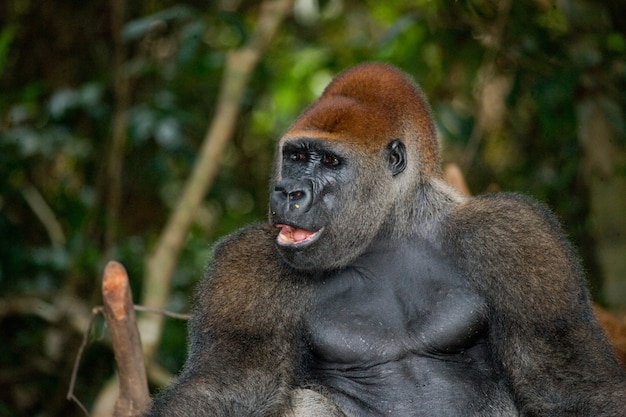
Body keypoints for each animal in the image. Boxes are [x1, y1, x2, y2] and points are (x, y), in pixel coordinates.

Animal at [146, 62, 624, 416]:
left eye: (330, 162)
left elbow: (565, 383)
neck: (390, 231)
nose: (289, 192)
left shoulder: (516, 234)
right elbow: (229, 385)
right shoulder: (246, 264)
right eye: (295, 156)